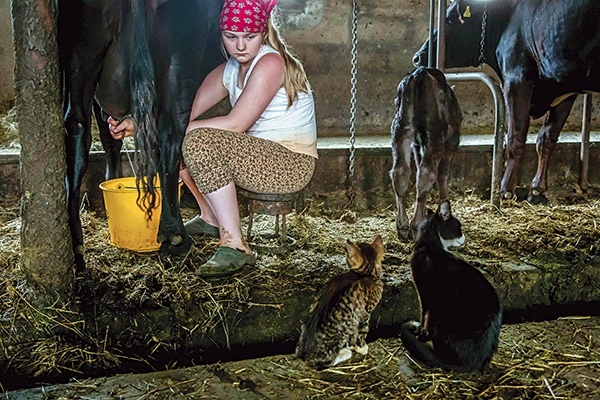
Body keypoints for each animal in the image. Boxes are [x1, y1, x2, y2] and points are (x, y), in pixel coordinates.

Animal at [59, 1, 225, 268]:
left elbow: (109, 139)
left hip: (80, 53)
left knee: (76, 125)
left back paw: (77, 244)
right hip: (179, 59)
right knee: (171, 128)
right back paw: (174, 234)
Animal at [296, 236, 384, 370]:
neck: (364, 274)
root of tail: (306, 355)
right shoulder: (365, 313)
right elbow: (362, 331)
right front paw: (362, 348)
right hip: (344, 328)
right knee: (325, 362)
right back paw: (344, 352)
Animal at [392, 67, 462, 239]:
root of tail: (420, 73)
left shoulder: (417, 144)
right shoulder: (452, 142)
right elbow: (443, 174)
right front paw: (445, 208)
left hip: (401, 128)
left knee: (401, 172)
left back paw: (402, 226)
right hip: (435, 135)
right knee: (426, 175)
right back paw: (417, 225)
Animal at [400, 202, 504, 374]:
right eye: (459, 227)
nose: (464, 237)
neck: (429, 243)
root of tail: (470, 363)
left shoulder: (424, 294)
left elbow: (423, 315)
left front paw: (420, 334)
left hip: (438, 312)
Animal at [414, 0, 596, 205]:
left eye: (451, 19)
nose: (417, 57)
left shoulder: (516, 78)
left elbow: (515, 138)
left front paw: (506, 188)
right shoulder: (563, 88)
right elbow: (546, 138)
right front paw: (537, 189)